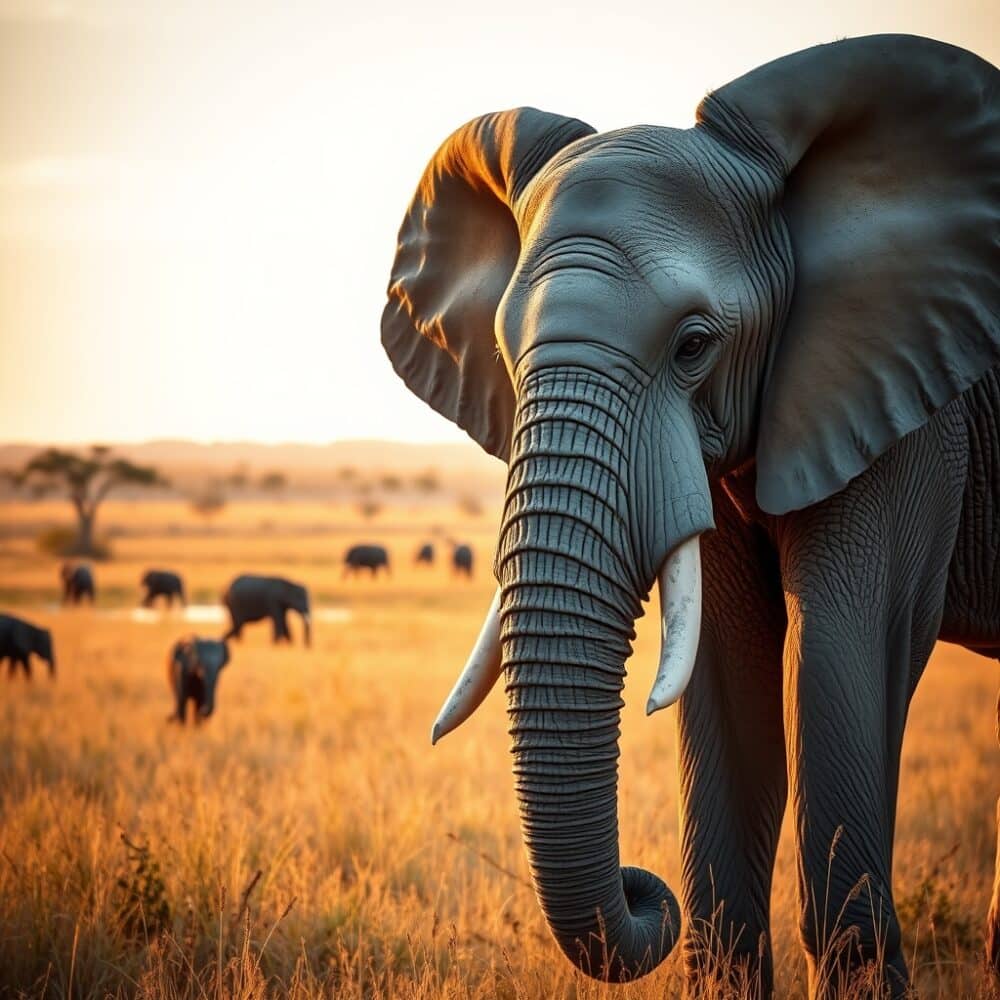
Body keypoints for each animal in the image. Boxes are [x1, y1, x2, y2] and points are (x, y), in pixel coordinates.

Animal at [381, 35, 1000, 998]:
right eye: (506, 355)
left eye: (694, 346)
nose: (644, 890)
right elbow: (727, 677)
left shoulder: (916, 404)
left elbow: (847, 649)